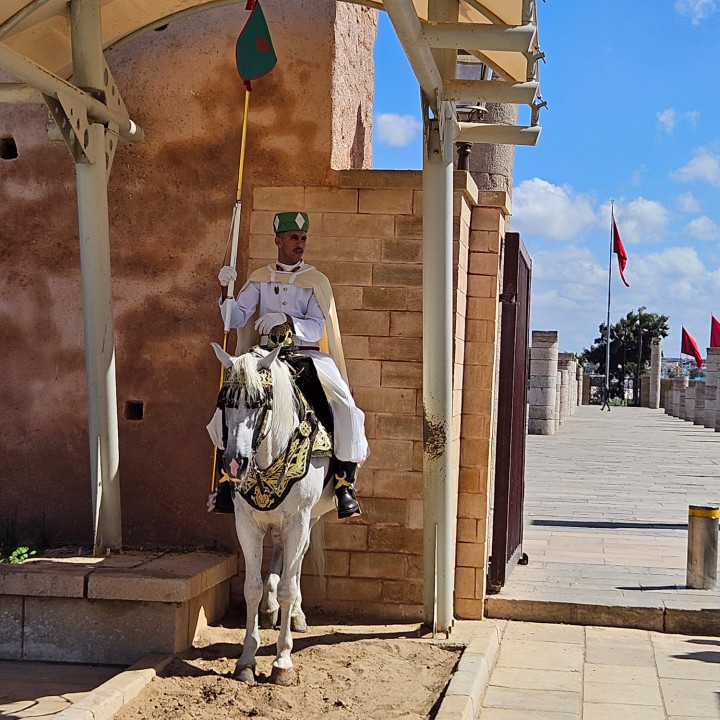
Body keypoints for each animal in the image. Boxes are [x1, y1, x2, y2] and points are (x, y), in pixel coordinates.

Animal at [211, 341, 335, 686]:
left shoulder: (299, 520)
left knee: (298, 561)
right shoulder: (246, 524)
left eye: (259, 403)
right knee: (278, 558)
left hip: (310, 519)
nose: (234, 463)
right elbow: (251, 588)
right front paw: (246, 660)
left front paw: (282, 661)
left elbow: (288, 589)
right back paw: (270, 608)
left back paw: (296, 615)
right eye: (224, 402)